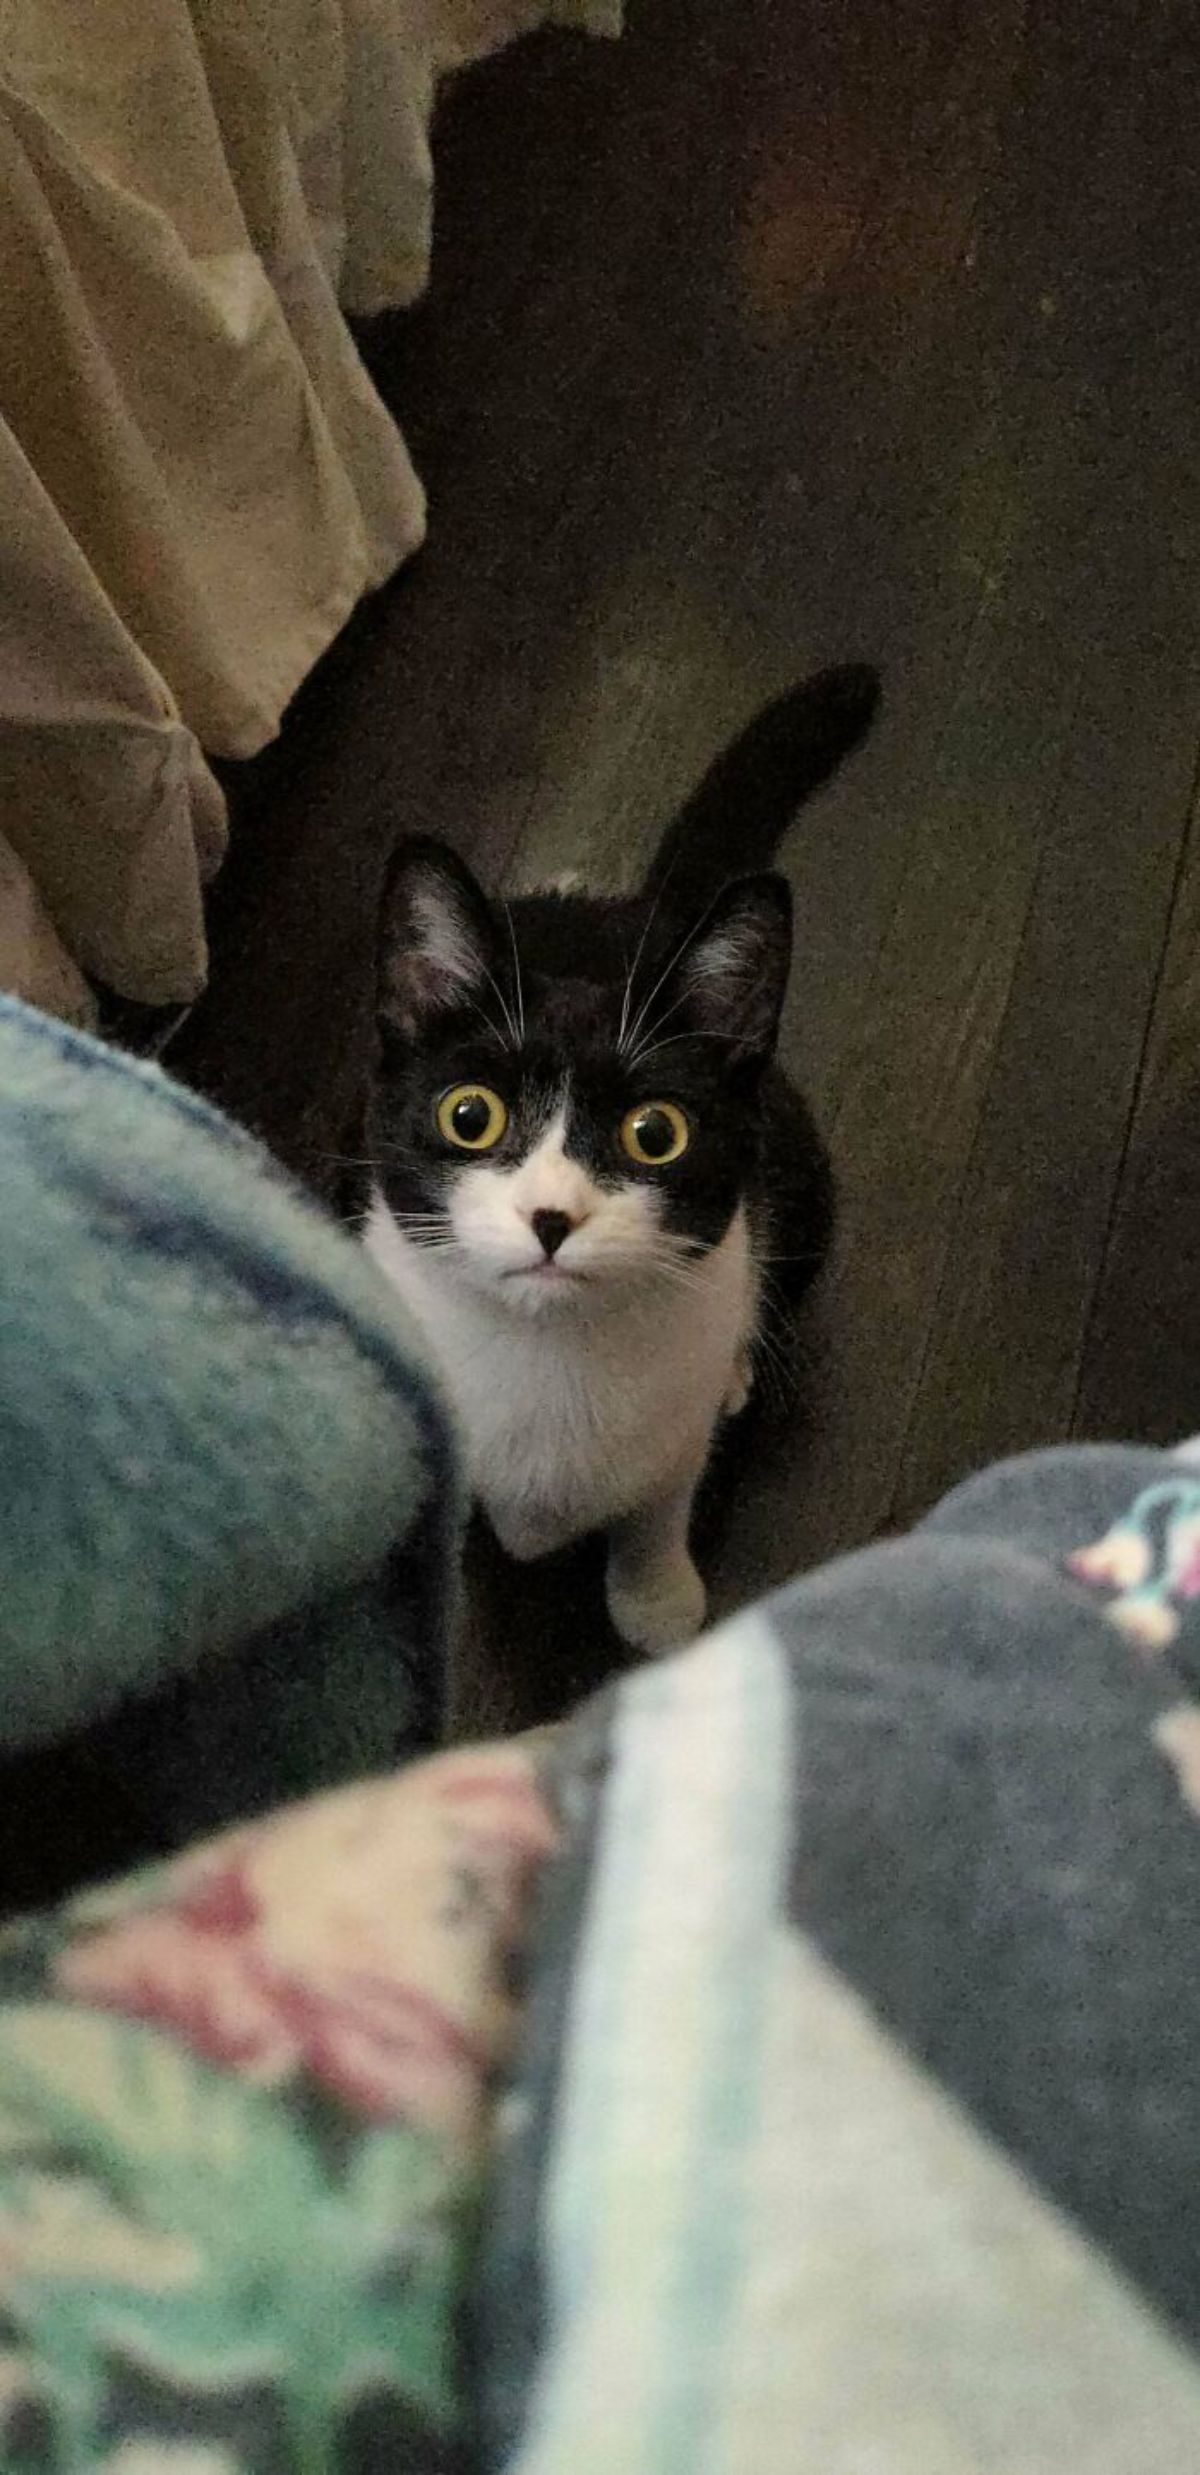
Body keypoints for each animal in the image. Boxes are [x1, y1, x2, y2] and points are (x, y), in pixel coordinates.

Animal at [361, 668, 875, 1653]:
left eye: (655, 1133)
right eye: (470, 1114)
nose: (552, 1216)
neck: (548, 1352)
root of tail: (646, 913)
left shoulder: (673, 1420)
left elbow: (659, 1502)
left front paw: (656, 1597)